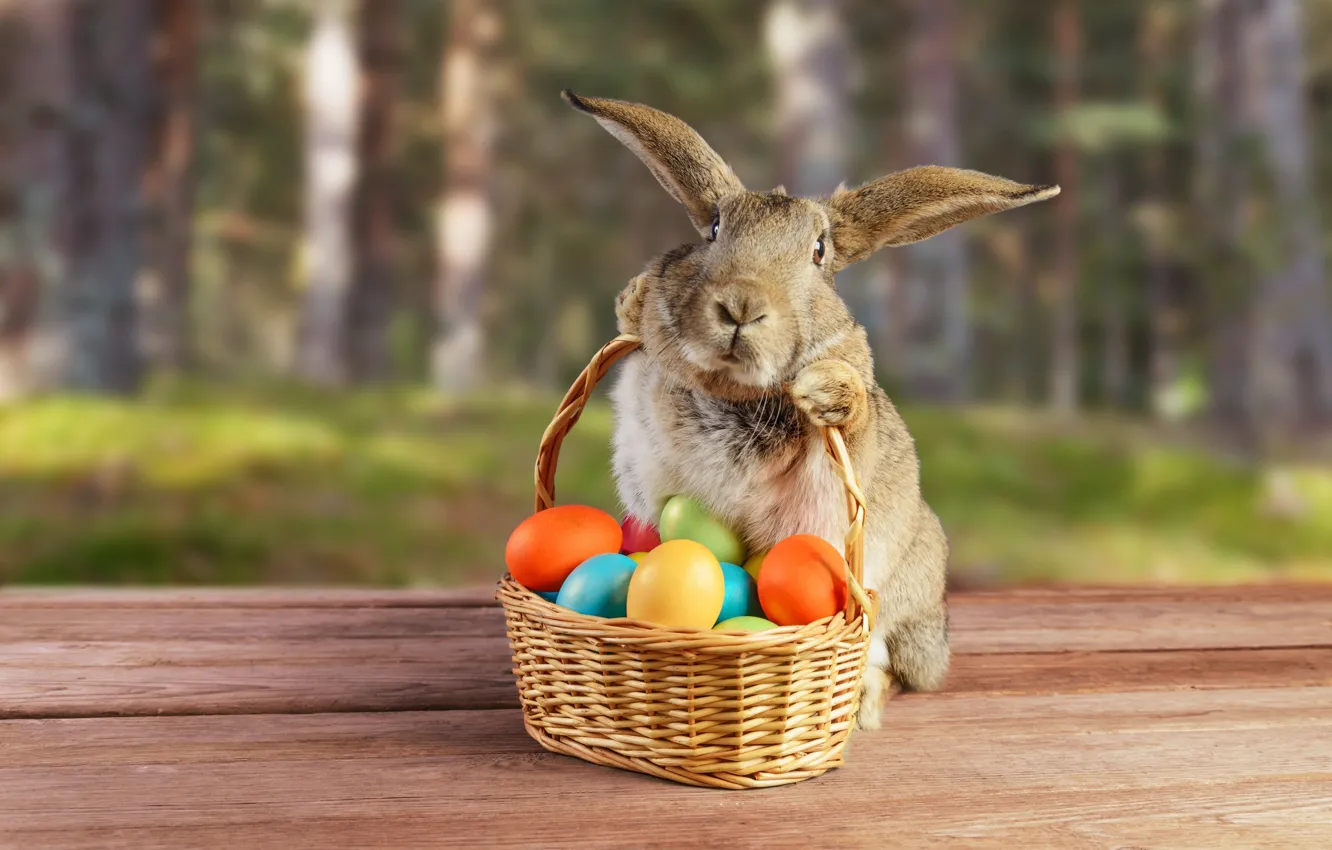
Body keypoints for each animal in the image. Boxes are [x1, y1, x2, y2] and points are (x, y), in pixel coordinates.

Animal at [564, 91, 1060, 735]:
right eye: (715, 228)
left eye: (818, 252)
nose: (741, 305)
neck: (732, 387)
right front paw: (636, 295)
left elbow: (850, 416)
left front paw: (824, 390)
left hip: (900, 611)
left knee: (890, 670)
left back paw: (864, 708)